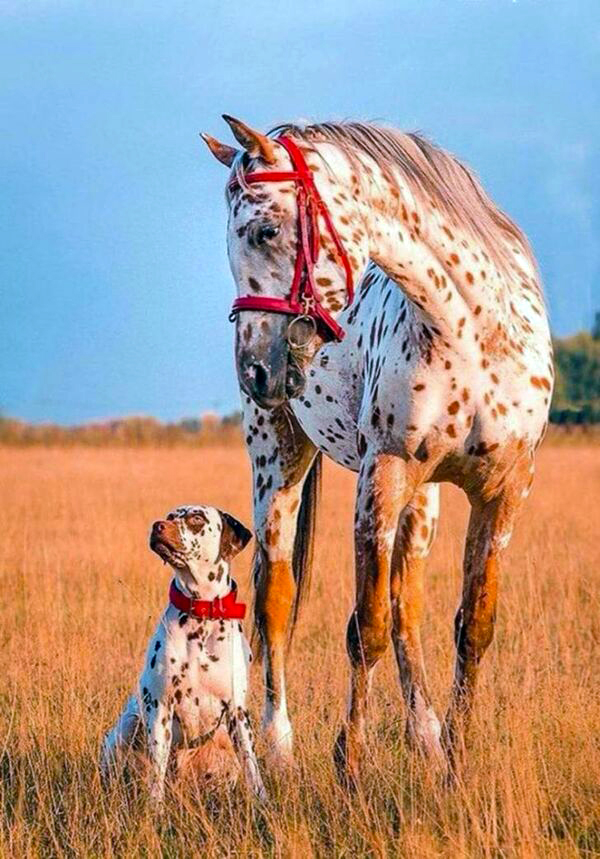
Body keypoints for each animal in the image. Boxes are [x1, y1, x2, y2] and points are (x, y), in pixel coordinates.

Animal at [102, 504, 266, 808]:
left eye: (196, 518)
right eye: (169, 516)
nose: (157, 526)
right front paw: (155, 809)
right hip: (126, 727)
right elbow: (156, 769)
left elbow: (252, 766)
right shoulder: (160, 707)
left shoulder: (238, 712)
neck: (201, 614)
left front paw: (263, 801)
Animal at [202, 116, 552, 788]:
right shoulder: (382, 476)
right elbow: (366, 628)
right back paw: (279, 748)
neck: (470, 330)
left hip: (426, 498)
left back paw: (428, 739)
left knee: (407, 604)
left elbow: (472, 626)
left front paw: (456, 767)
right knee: (277, 598)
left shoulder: (504, 492)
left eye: (265, 230)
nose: (254, 370)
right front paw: (350, 767)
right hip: (277, 461)